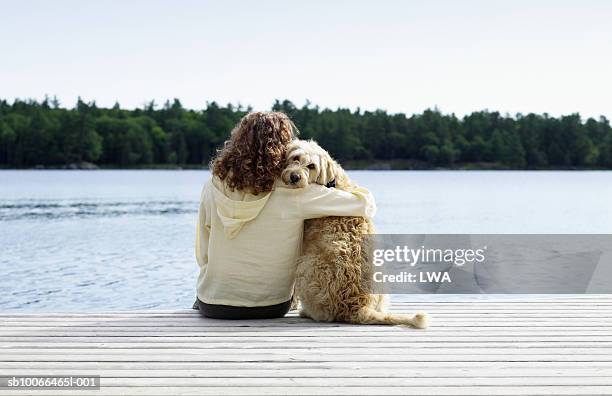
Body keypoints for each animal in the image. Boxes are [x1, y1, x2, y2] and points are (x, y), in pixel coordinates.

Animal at [280, 140, 428, 328]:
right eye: (295, 157)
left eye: (311, 166)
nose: (294, 177)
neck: (331, 182)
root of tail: (357, 306)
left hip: (307, 266)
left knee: (323, 314)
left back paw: (307, 312)